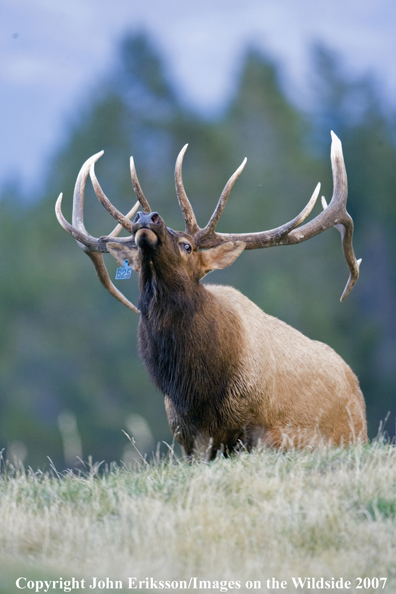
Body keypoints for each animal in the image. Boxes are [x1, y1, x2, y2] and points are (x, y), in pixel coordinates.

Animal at [56, 132, 368, 456]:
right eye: (139, 257)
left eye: (188, 246)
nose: (146, 217)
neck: (197, 388)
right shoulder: (186, 435)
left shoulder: (262, 429)